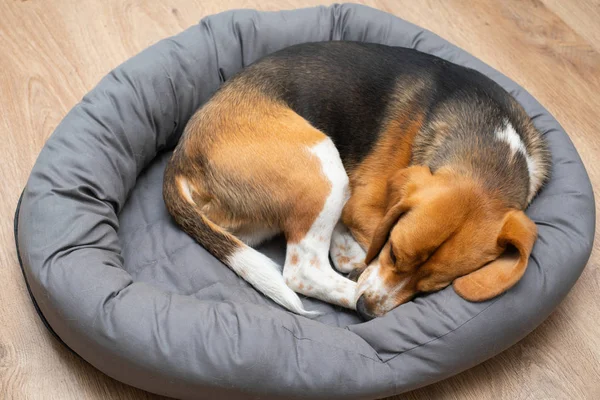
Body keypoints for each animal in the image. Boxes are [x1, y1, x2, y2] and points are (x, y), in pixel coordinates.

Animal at [162, 42, 552, 320]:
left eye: (433, 287)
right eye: (393, 252)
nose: (366, 311)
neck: (495, 147)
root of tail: (181, 159)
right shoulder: (360, 206)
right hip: (325, 167)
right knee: (302, 272)